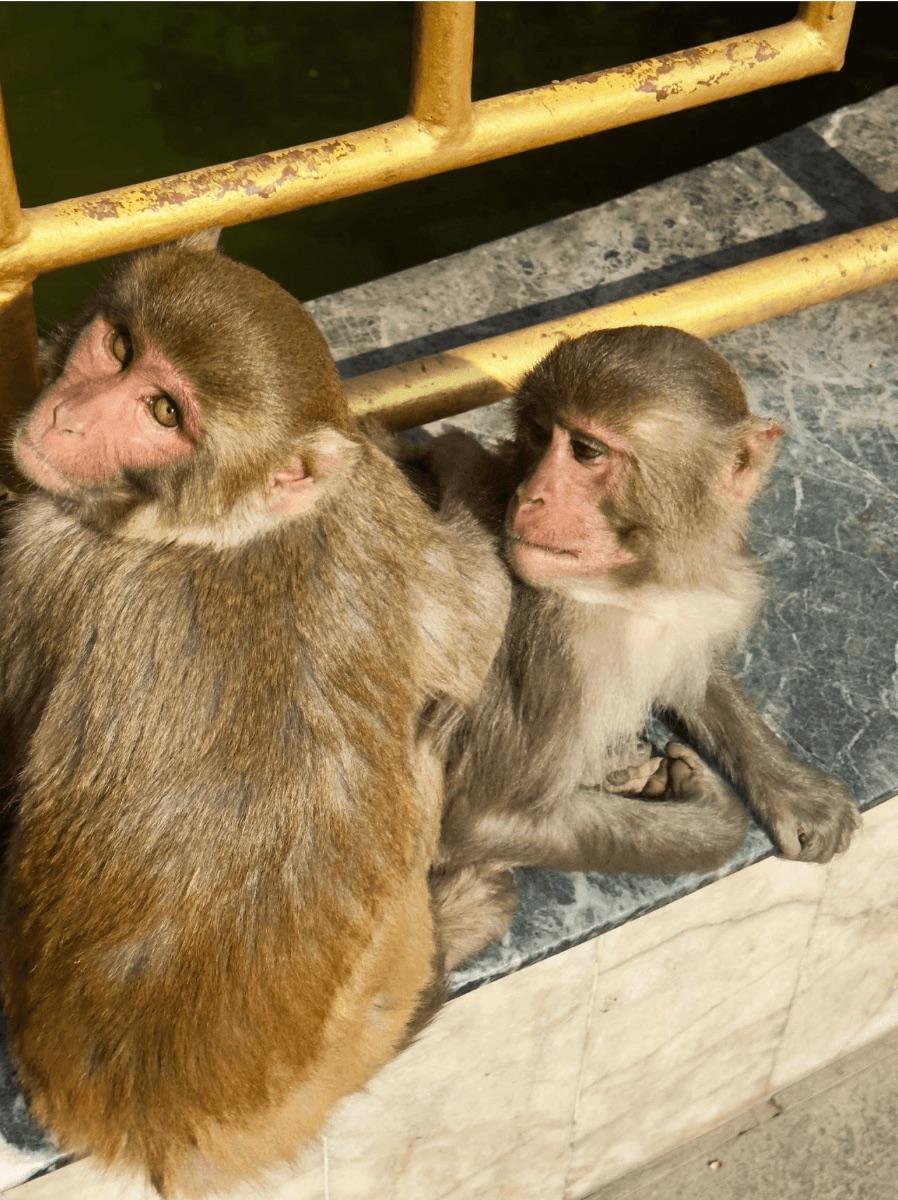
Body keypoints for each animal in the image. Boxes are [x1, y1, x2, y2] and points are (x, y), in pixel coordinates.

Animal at [0, 236, 510, 1196]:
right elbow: (480, 617)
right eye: (119, 349)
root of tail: (166, 1131)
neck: (225, 531)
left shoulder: (34, 552)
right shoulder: (373, 504)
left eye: (163, 411)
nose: (68, 421)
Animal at [415, 326, 860, 969]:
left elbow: (691, 668)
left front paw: (792, 786)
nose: (529, 496)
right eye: (539, 433)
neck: (629, 590)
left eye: (585, 451)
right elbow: (479, 820)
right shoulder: (558, 647)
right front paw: (712, 815)